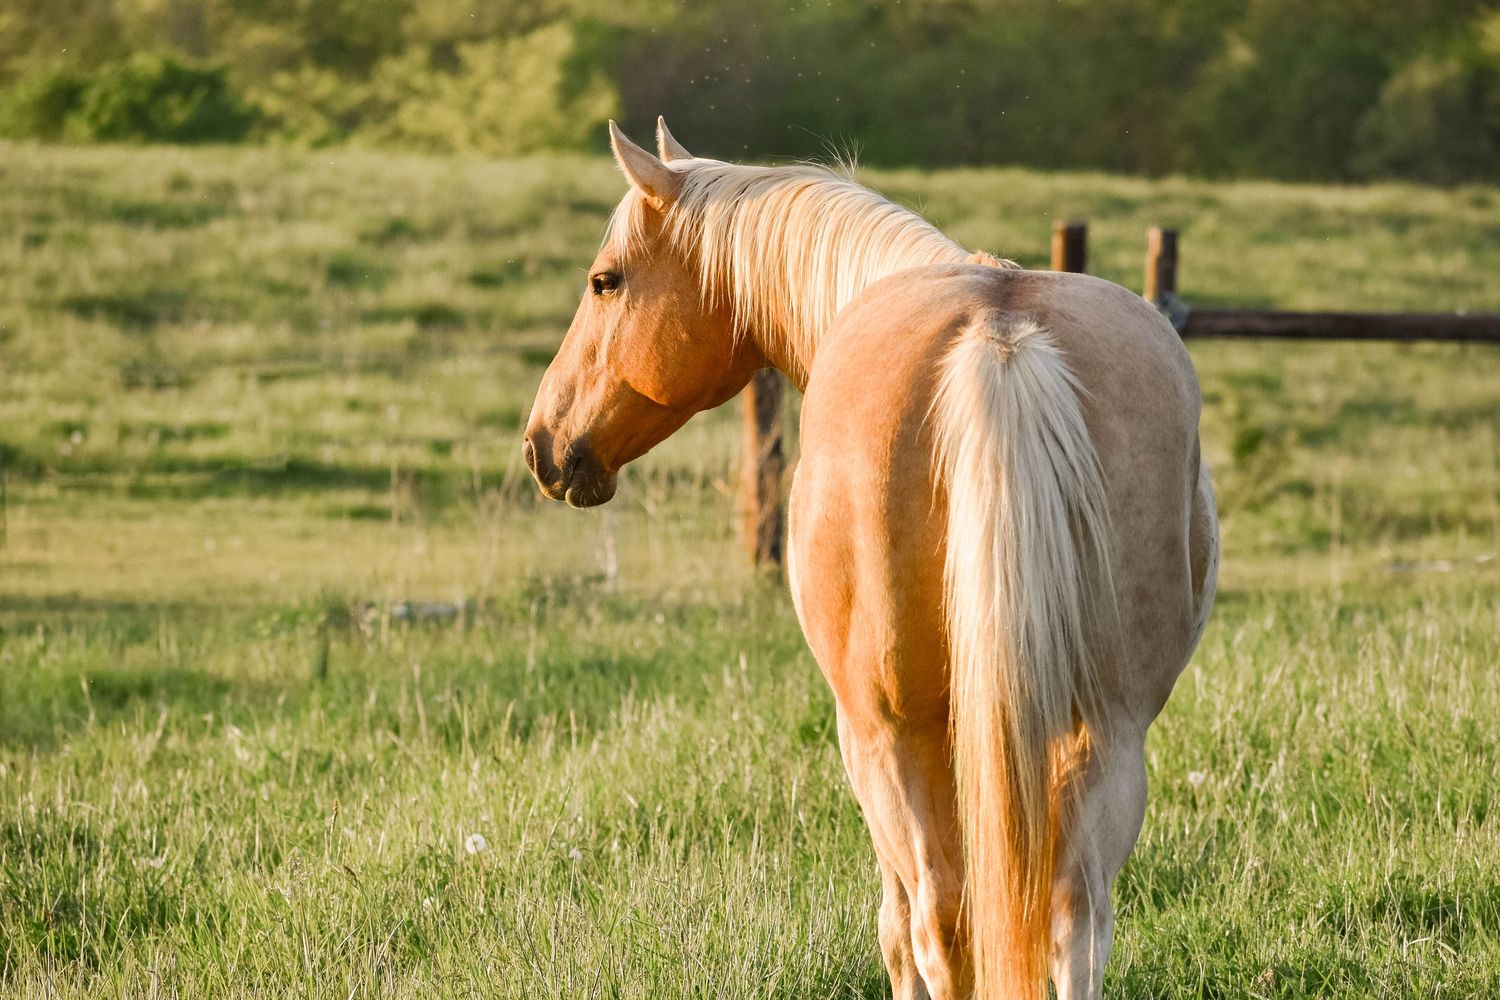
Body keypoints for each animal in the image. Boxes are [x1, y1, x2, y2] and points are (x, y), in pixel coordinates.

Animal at [523, 119, 1219, 1000]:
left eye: (604, 282)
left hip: (893, 742)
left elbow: (898, 931)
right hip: (1107, 735)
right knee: (1076, 920)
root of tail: (1000, 335)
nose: (543, 445)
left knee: (939, 925)